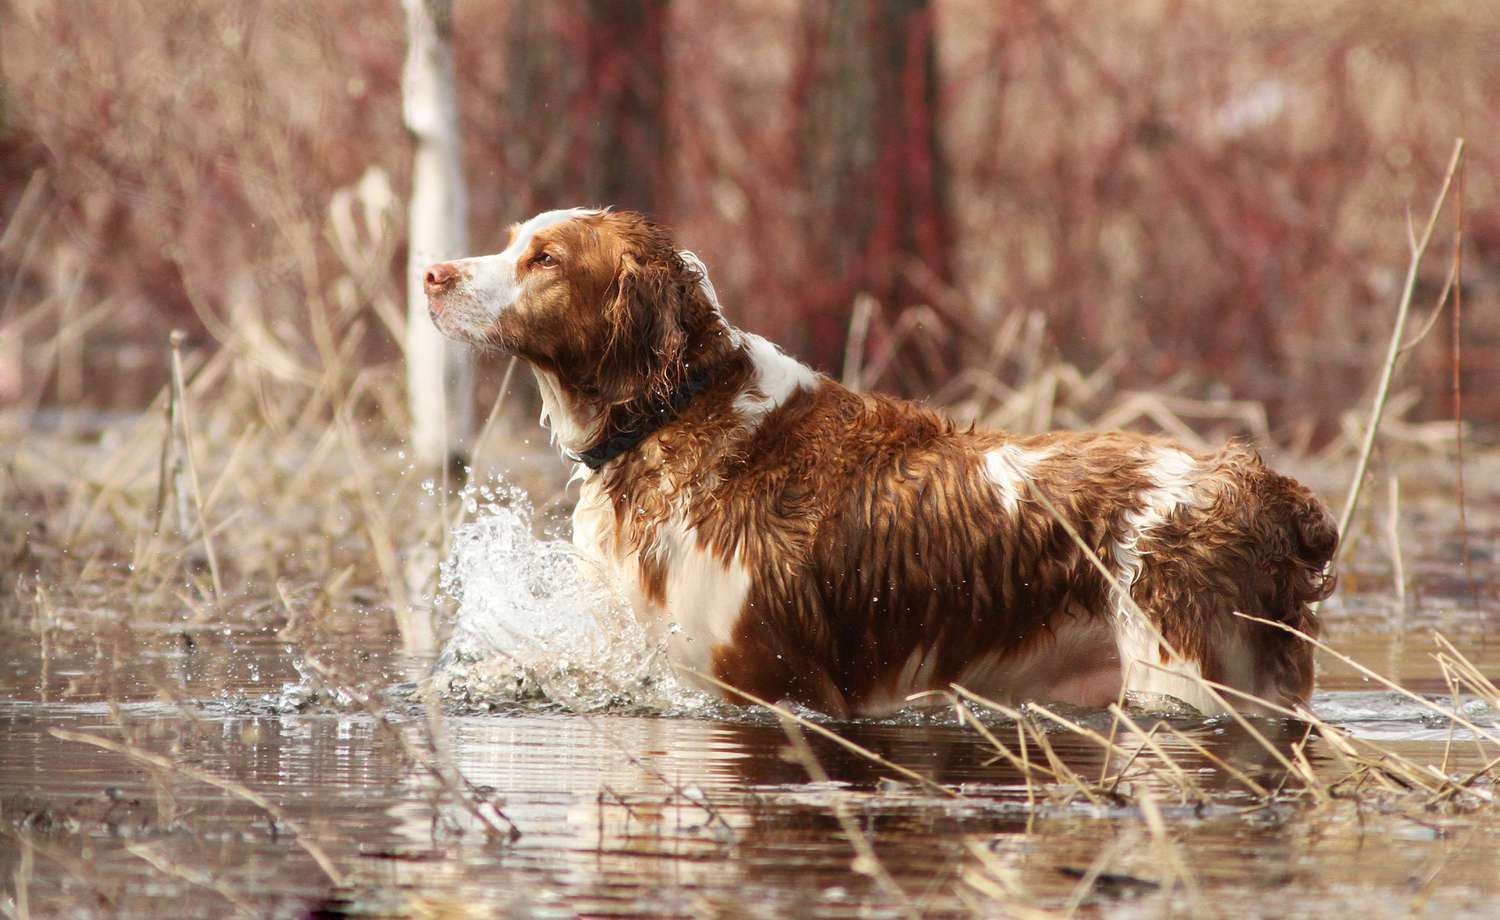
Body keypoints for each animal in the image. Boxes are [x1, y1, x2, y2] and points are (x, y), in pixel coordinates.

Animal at [423, 210, 1338, 717]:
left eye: (545, 259)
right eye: (511, 242)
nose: (430, 272)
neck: (675, 414)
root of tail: (1268, 489)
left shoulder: (771, 682)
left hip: (1188, 674)